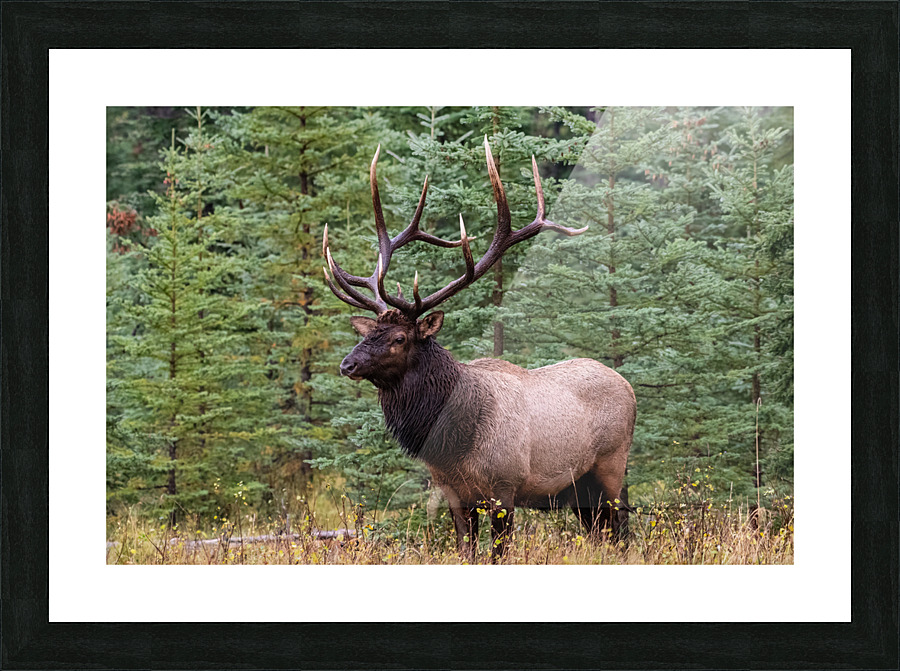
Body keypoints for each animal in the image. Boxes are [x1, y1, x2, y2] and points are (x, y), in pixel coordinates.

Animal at [322, 137, 636, 562]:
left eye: (399, 339)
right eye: (370, 331)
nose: (348, 364)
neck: (452, 444)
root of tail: (628, 386)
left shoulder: (505, 487)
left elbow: (499, 553)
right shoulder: (453, 493)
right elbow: (465, 551)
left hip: (611, 466)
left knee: (620, 530)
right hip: (578, 488)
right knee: (600, 534)